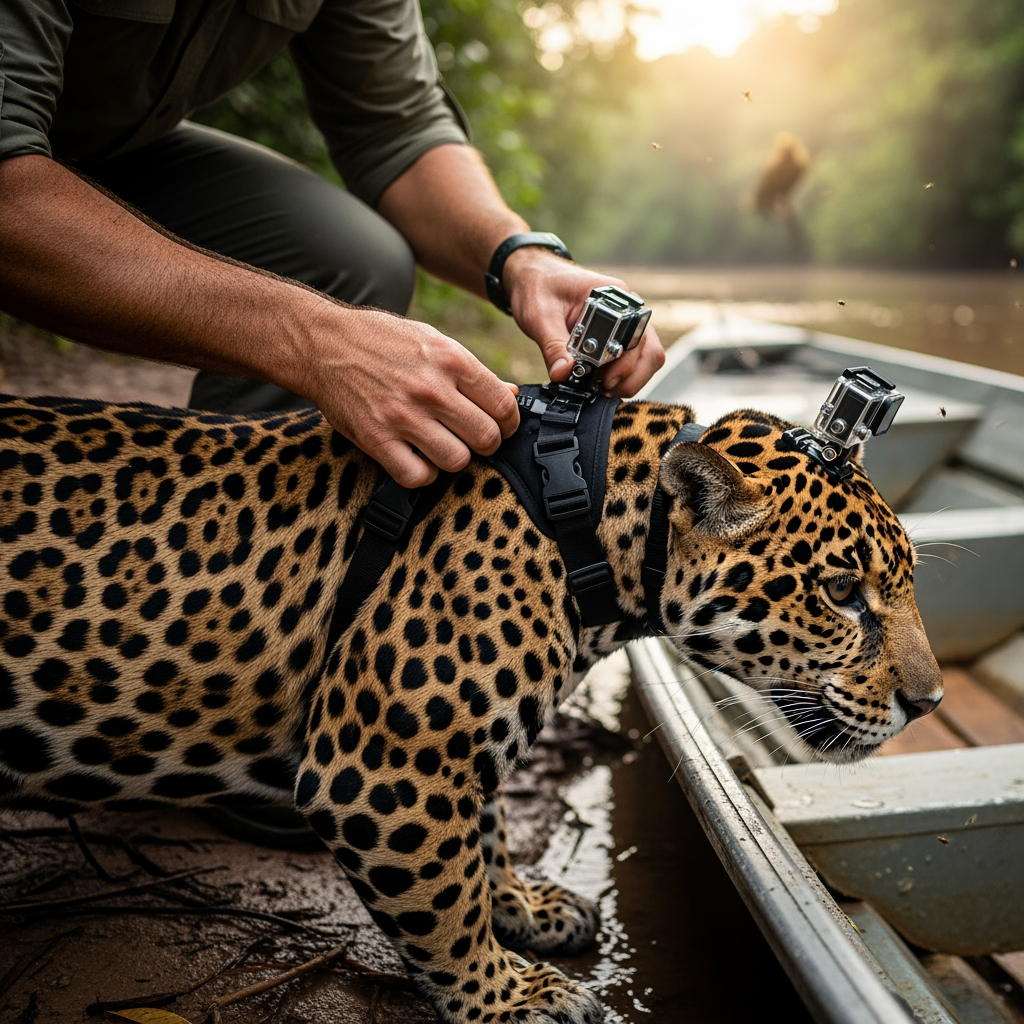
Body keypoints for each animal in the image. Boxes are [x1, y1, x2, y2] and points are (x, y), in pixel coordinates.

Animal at [0, 392, 942, 1024]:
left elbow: (480, 837)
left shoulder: (452, 753)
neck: (592, 523)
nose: (927, 701)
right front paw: (509, 995)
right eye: (842, 593)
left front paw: (524, 908)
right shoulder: (385, 767)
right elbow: (441, 902)